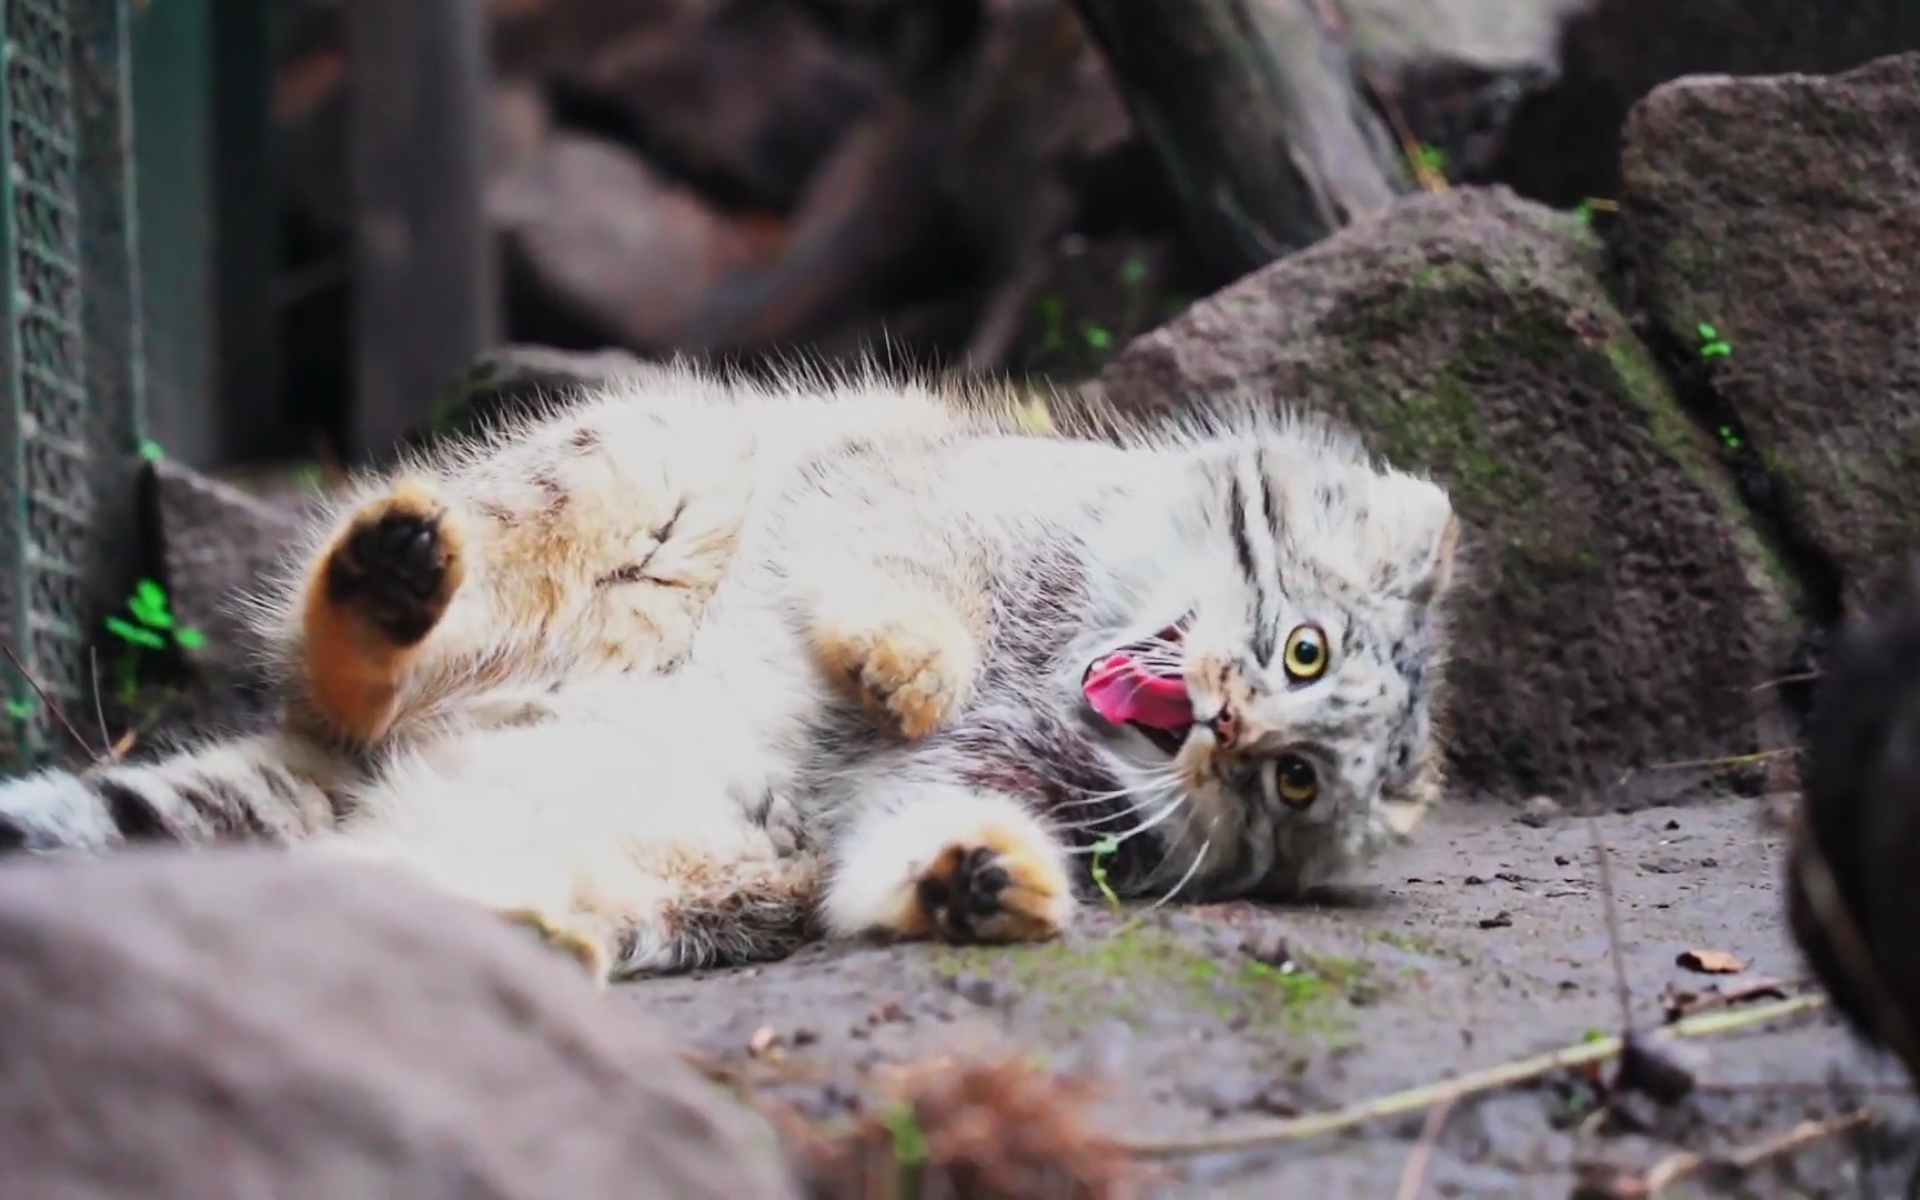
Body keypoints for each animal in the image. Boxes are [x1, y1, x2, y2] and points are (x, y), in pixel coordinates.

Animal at [0, 360, 1451, 979]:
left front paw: (980, 882)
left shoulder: (920, 799)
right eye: (1305, 649)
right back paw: (392, 580)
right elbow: (914, 581)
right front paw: (907, 663)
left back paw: (526, 940)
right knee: (356, 648)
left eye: (1296, 789)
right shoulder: (930, 502)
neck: (1050, 679)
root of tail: (360, 774)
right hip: (644, 471)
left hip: (681, 868)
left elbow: (907, 838)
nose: (1228, 727)